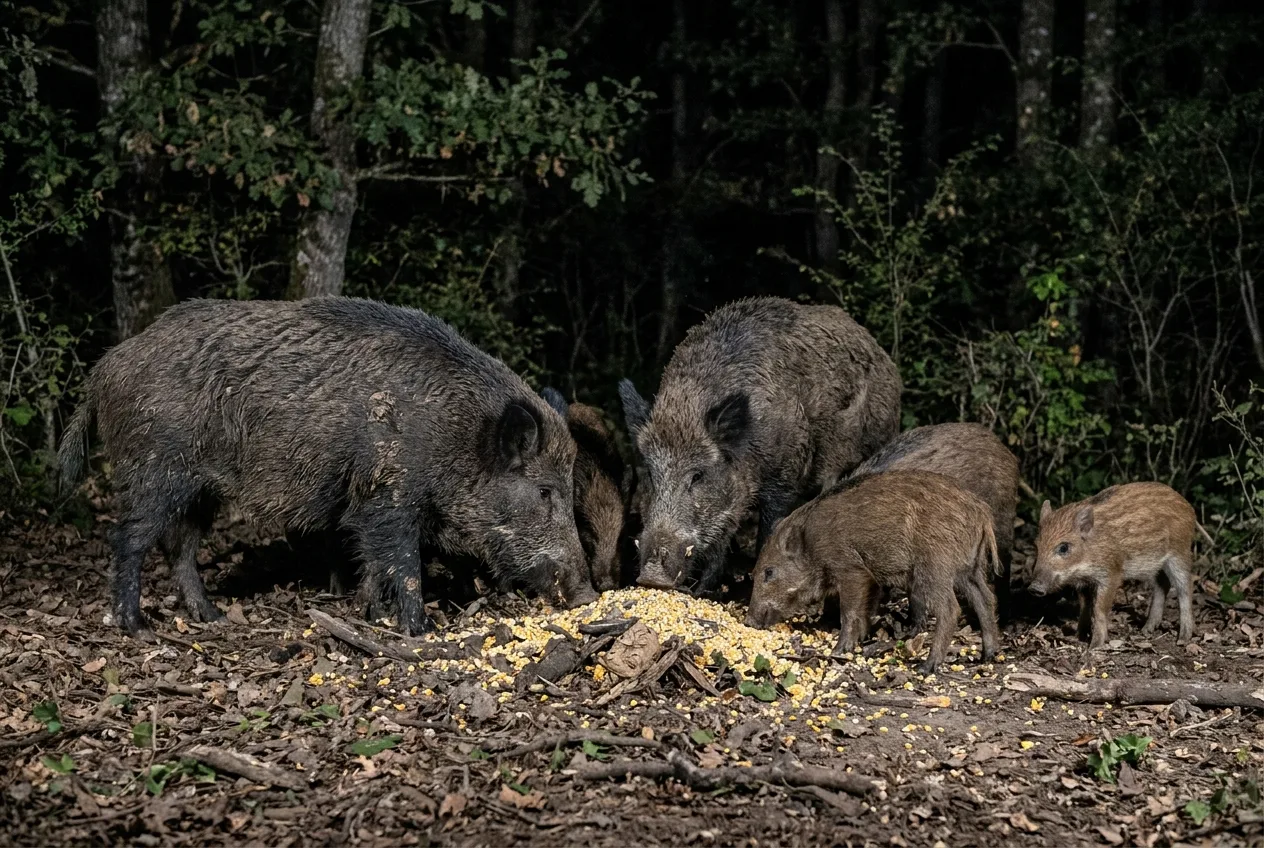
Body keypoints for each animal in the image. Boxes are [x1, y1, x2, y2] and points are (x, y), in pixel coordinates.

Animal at [58, 297, 595, 639]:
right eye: (544, 491)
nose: (587, 592)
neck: (458, 435)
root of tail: (104, 370)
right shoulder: (390, 493)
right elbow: (405, 564)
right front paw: (419, 629)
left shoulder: (366, 503)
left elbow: (374, 563)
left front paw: (368, 613)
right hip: (157, 468)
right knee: (130, 538)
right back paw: (137, 627)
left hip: (200, 490)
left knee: (181, 547)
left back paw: (214, 618)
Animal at [619, 296, 901, 593]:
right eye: (651, 474)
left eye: (698, 475)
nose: (651, 576)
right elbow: (721, 539)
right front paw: (707, 589)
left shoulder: (783, 478)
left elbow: (767, 530)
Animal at [745, 470, 1001, 674]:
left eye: (769, 572)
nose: (749, 621)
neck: (811, 546)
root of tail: (981, 513)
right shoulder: (873, 579)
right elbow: (866, 610)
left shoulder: (851, 569)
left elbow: (849, 612)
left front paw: (840, 650)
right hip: (969, 569)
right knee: (986, 599)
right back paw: (988, 655)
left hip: (935, 568)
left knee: (950, 609)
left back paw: (926, 667)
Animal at [1028, 482, 1210, 648]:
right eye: (1036, 546)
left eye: (1064, 547)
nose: (1033, 588)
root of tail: (1188, 507)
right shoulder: (1084, 582)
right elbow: (1085, 607)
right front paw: (1078, 637)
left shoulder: (1111, 574)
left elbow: (1099, 609)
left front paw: (1094, 646)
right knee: (1162, 584)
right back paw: (1146, 629)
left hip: (1179, 553)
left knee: (1185, 587)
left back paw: (1182, 639)